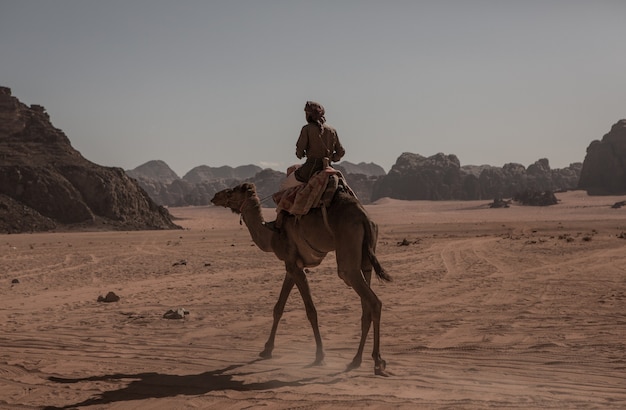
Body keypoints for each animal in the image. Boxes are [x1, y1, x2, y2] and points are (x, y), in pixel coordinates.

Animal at [210, 182, 390, 374]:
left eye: (232, 191)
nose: (214, 196)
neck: (271, 235)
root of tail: (364, 218)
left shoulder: (294, 267)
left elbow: (311, 311)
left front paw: (320, 356)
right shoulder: (292, 266)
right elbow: (278, 308)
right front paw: (267, 349)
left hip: (348, 257)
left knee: (372, 300)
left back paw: (377, 361)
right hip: (366, 259)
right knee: (366, 306)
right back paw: (356, 360)